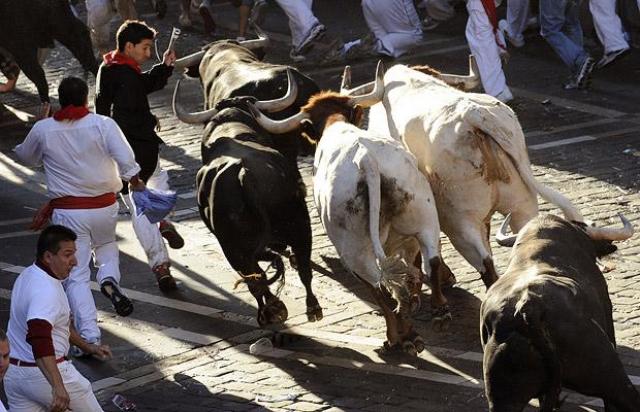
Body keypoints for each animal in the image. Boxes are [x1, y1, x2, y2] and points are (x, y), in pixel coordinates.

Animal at [174, 69, 324, 326]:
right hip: (298, 226)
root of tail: (244, 174)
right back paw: (305, 308)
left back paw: (272, 310)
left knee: (260, 278)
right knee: (296, 268)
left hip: (238, 246)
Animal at [246, 62, 450, 354]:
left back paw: (400, 337)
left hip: (353, 250)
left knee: (378, 286)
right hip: (423, 218)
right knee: (429, 261)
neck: (335, 125)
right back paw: (438, 313)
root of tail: (367, 161)